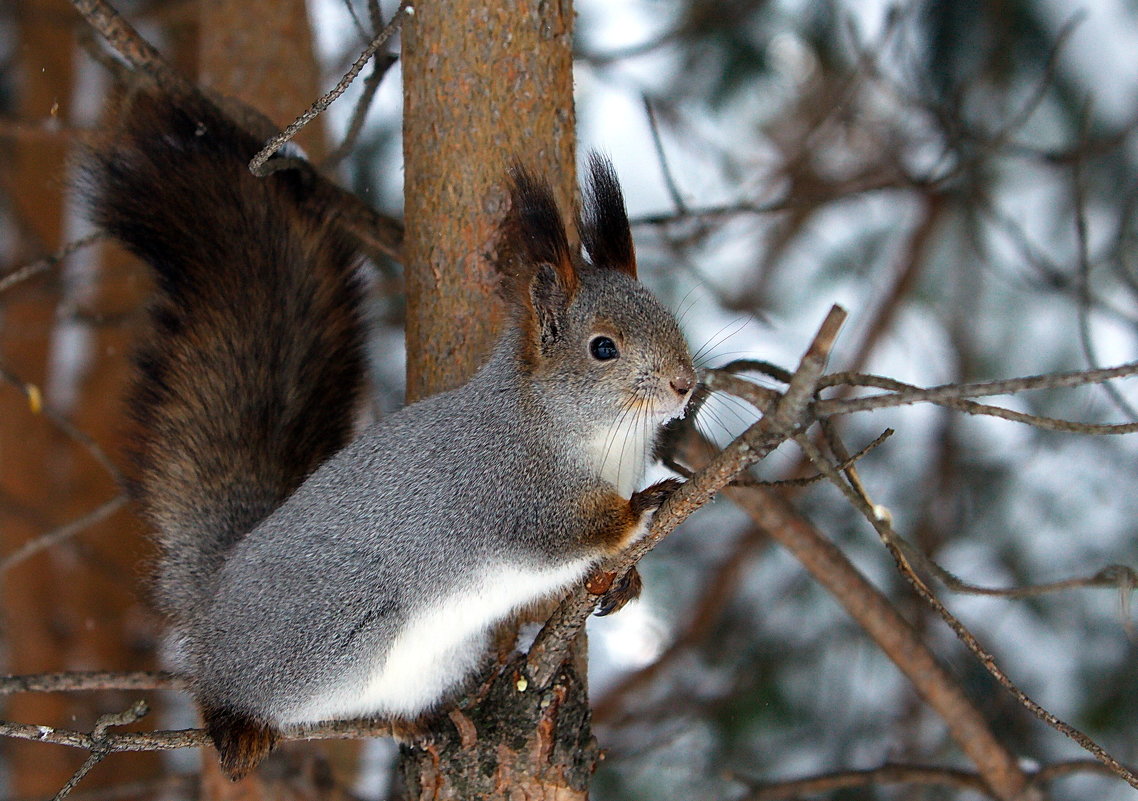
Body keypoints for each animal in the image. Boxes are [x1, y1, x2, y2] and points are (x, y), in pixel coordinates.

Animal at [84, 91, 691, 778]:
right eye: (603, 348)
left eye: (668, 316)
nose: (685, 383)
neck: (592, 435)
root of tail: (216, 596)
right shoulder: (509, 490)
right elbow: (568, 531)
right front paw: (642, 507)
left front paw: (625, 579)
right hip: (333, 632)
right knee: (232, 684)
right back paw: (235, 723)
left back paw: (426, 723)